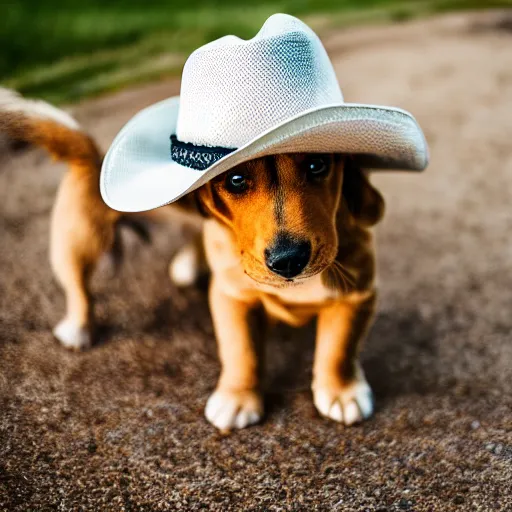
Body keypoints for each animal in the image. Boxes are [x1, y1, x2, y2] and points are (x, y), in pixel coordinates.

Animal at [0, 90, 384, 430]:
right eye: (236, 179)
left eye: (318, 164)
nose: (288, 260)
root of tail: (93, 154)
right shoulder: (231, 296)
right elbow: (241, 350)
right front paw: (237, 399)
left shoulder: (358, 295)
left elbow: (339, 348)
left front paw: (341, 391)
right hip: (78, 241)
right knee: (79, 288)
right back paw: (79, 327)